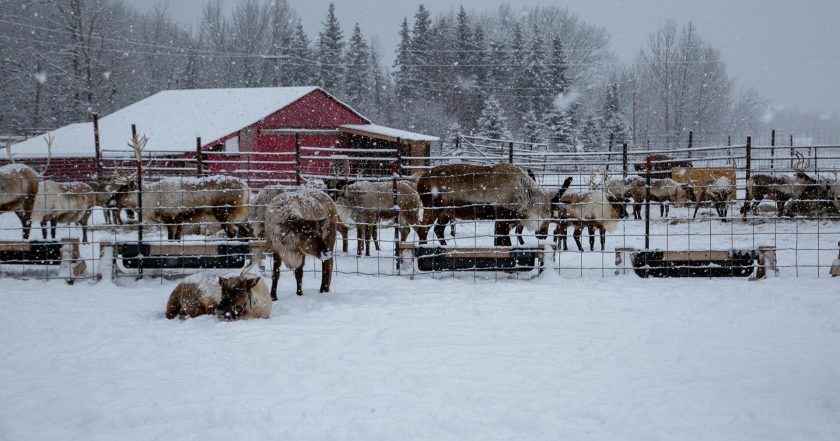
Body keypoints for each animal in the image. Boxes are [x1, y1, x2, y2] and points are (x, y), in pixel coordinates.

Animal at [106, 174, 249, 241]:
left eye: (123, 190)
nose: (108, 202)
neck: (150, 199)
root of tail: (246, 187)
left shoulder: (170, 219)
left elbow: (171, 239)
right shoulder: (180, 221)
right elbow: (177, 238)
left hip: (224, 214)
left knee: (232, 233)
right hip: (240, 217)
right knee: (246, 232)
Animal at [418, 162, 576, 246]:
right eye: (549, 216)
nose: (542, 235)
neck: (525, 195)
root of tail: (420, 181)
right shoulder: (502, 216)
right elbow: (505, 242)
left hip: (447, 212)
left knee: (438, 229)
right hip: (433, 207)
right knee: (423, 229)